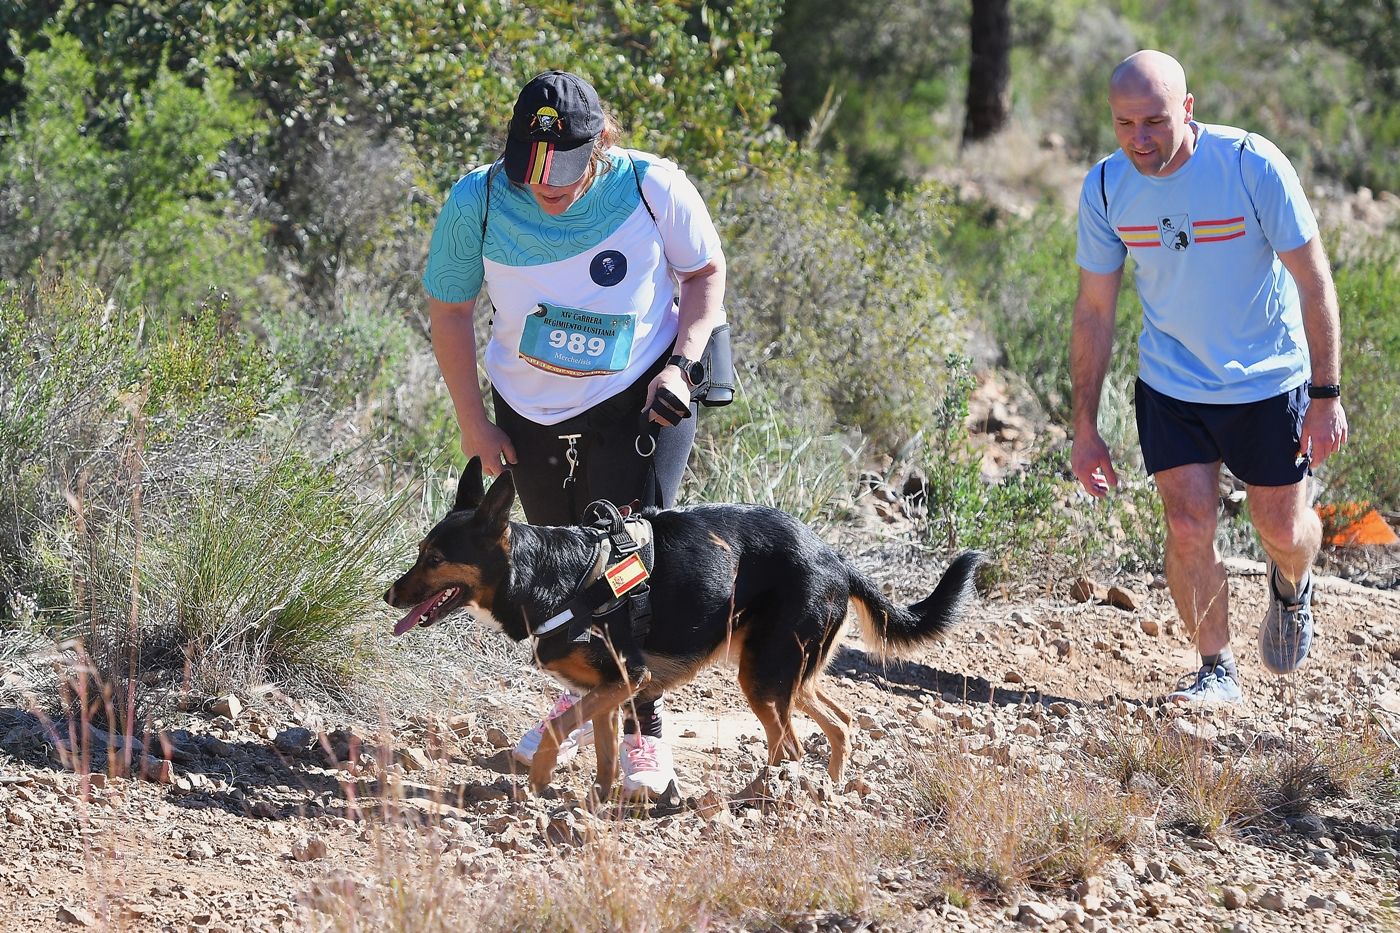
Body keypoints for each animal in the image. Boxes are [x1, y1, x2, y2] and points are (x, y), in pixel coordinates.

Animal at [383, 453, 985, 795]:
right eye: (420, 553)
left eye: (435, 559)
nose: (388, 595)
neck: (551, 575)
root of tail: (837, 558)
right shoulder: (608, 690)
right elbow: (604, 754)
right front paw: (600, 802)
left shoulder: (631, 677)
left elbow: (560, 729)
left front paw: (537, 783)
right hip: (786, 671)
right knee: (839, 723)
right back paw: (828, 789)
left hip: (762, 675)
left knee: (789, 746)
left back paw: (759, 796)